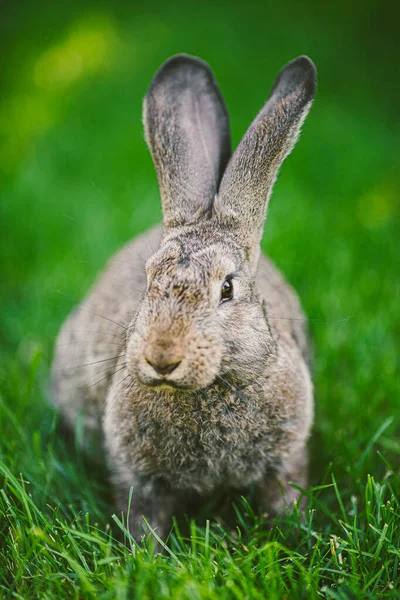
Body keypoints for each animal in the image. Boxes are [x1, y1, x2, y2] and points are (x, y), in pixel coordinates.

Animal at [51, 52, 318, 540]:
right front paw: (143, 553)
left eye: (227, 288)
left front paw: (295, 537)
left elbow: (284, 500)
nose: (162, 357)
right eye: (147, 280)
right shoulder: (137, 476)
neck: (212, 386)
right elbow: (144, 519)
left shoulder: (286, 458)